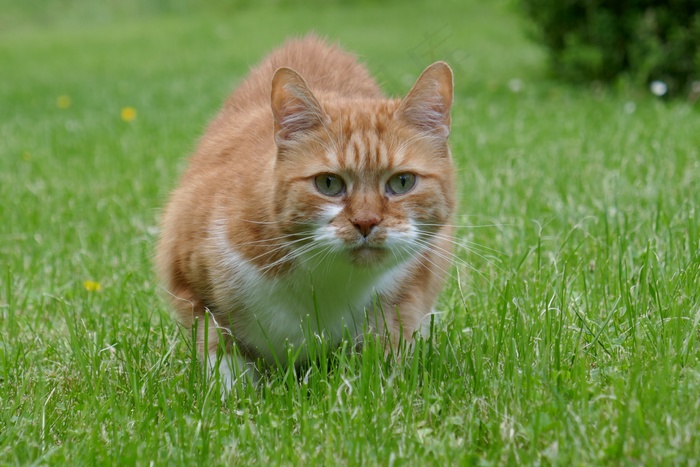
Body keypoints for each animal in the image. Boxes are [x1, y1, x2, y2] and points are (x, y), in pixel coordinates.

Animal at [154, 34, 454, 390]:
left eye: (402, 182)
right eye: (328, 183)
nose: (366, 222)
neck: (327, 282)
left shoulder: (409, 293)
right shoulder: (192, 283)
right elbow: (221, 354)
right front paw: (232, 395)